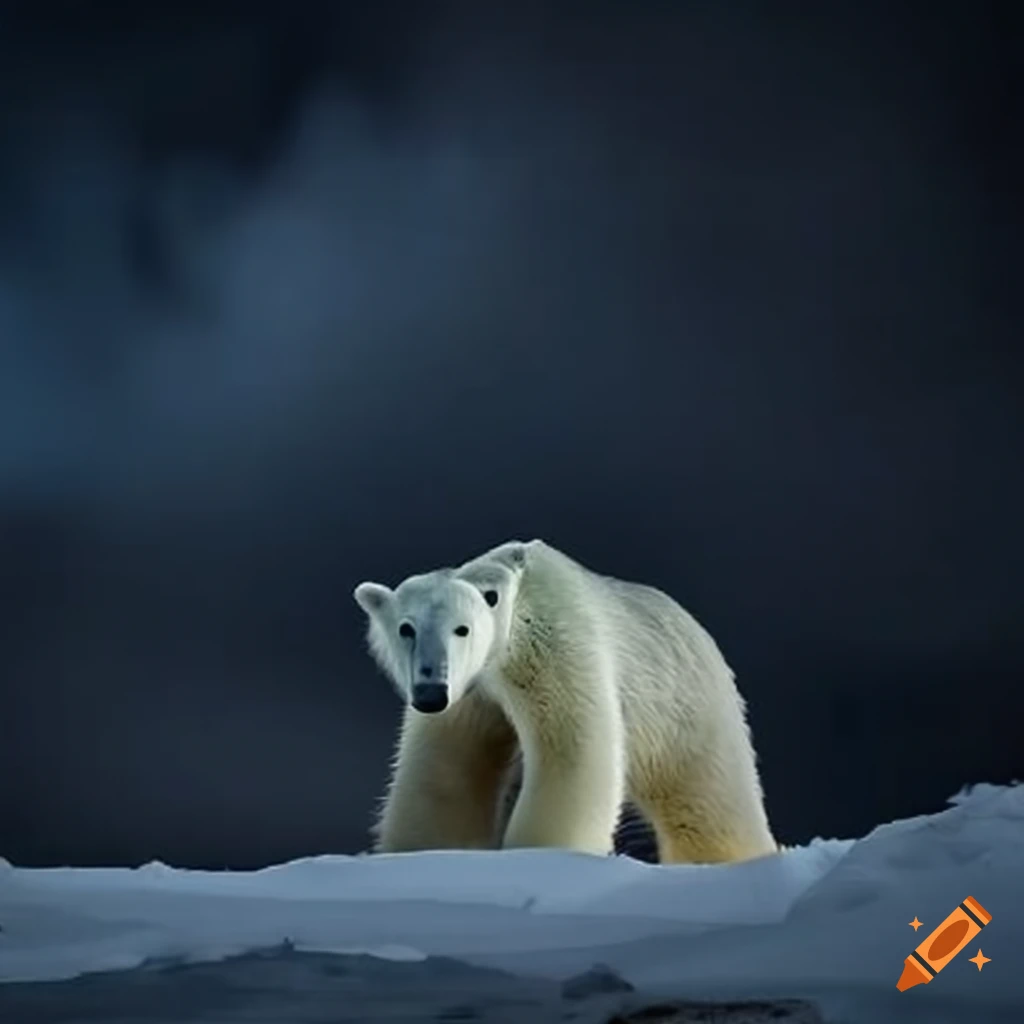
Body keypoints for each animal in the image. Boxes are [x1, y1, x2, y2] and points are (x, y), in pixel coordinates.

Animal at [353, 538, 778, 864]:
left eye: (463, 629)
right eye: (406, 629)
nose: (430, 693)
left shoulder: (551, 648)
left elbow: (572, 756)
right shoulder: (467, 701)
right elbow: (444, 776)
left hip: (682, 708)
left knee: (707, 801)